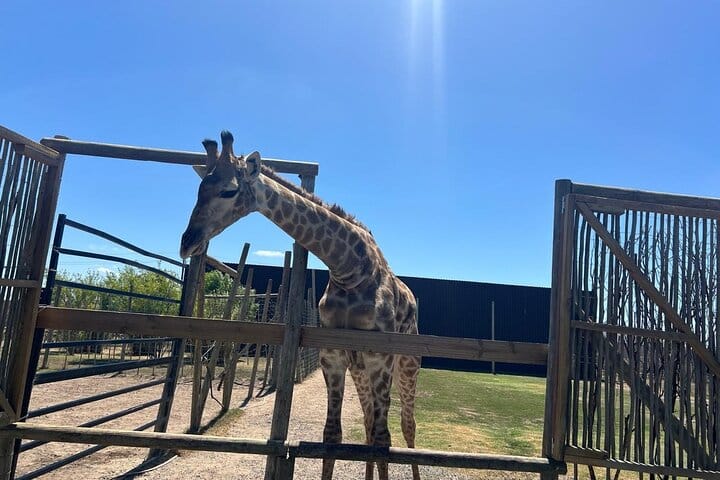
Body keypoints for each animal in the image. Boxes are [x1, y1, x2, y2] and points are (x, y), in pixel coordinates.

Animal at [180, 131, 421, 480]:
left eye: (229, 190)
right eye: (199, 189)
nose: (187, 243)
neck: (350, 269)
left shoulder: (380, 357)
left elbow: (382, 439)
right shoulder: (333, 354)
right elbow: (332, 435)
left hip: (407, 363)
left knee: (405, 425)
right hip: (360, 369)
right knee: (367, 422)